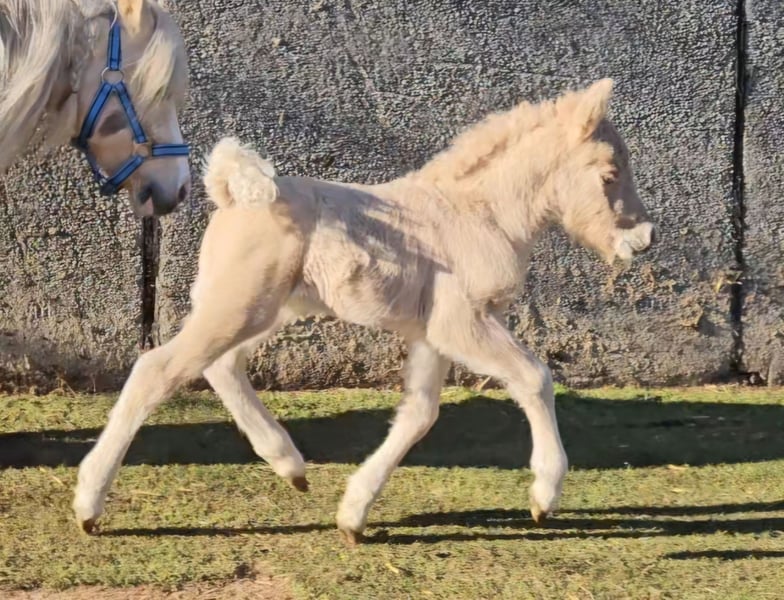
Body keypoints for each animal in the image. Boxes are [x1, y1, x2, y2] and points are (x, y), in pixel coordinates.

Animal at [73, 79, 657, 544]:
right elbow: (534, 378)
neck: (480, 211)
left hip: (264, 309)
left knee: (221, 366)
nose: (644, 240)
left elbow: (419, 413)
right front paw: (544, 495)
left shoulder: (432, 333)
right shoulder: (461, 321)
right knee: (157, 369)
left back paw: (290, 465)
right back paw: (88, 505)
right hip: (240, 306)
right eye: (609, 174)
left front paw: (353, 514)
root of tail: (235, 193)